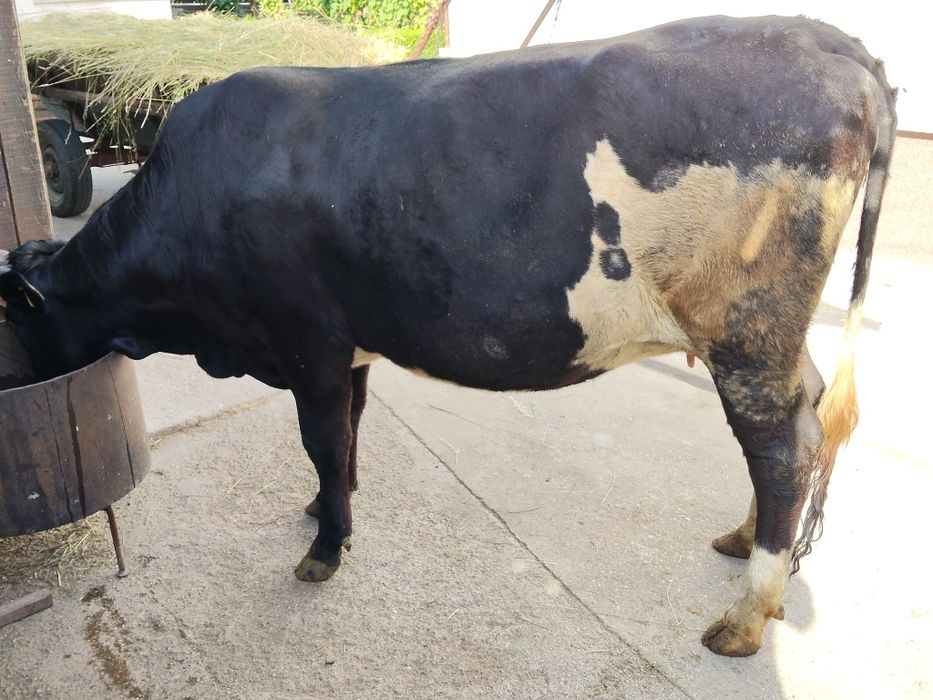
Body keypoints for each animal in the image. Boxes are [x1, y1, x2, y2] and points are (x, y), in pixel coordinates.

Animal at [0, 15, 895, 656]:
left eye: (9, 317)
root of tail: (824, 36)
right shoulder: (351, 346)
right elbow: (350, 434)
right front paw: (327, 505)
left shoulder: (307, 342)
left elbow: (322, 438)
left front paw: (324, 548)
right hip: (772, 338)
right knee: (807, 414)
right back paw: (743, 543)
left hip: (745, 325)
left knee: (779, 449)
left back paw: (744, 616)